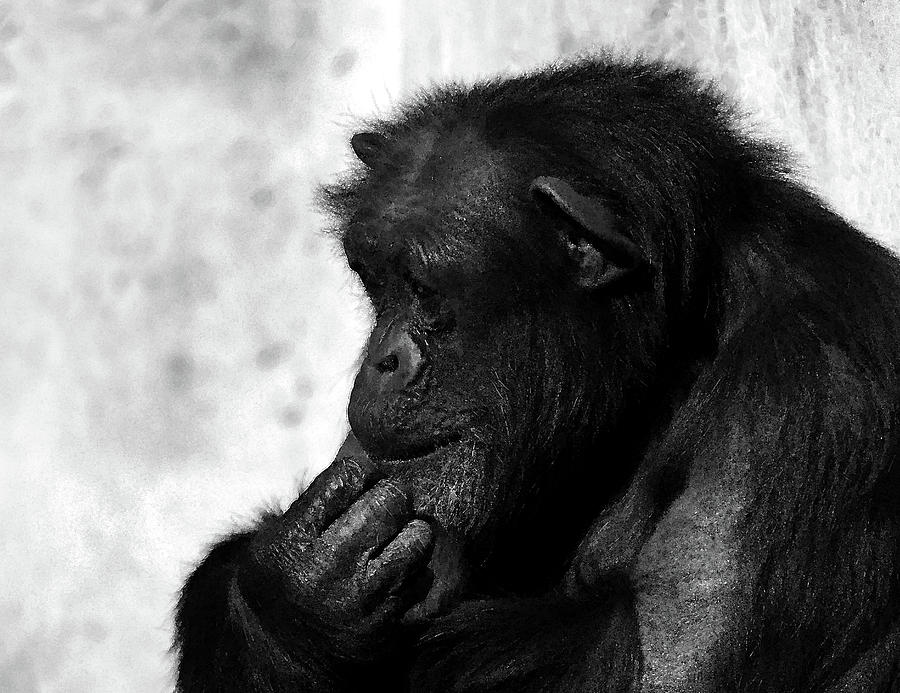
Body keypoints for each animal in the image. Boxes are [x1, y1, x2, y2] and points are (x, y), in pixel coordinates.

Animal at [174, 56, 900, 688]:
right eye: (376, 280)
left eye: (425, 289)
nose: (381, 358)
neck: (673, 357)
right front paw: (286, 599)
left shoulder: (799, 414)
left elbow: (663, 663)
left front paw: (295, 596)